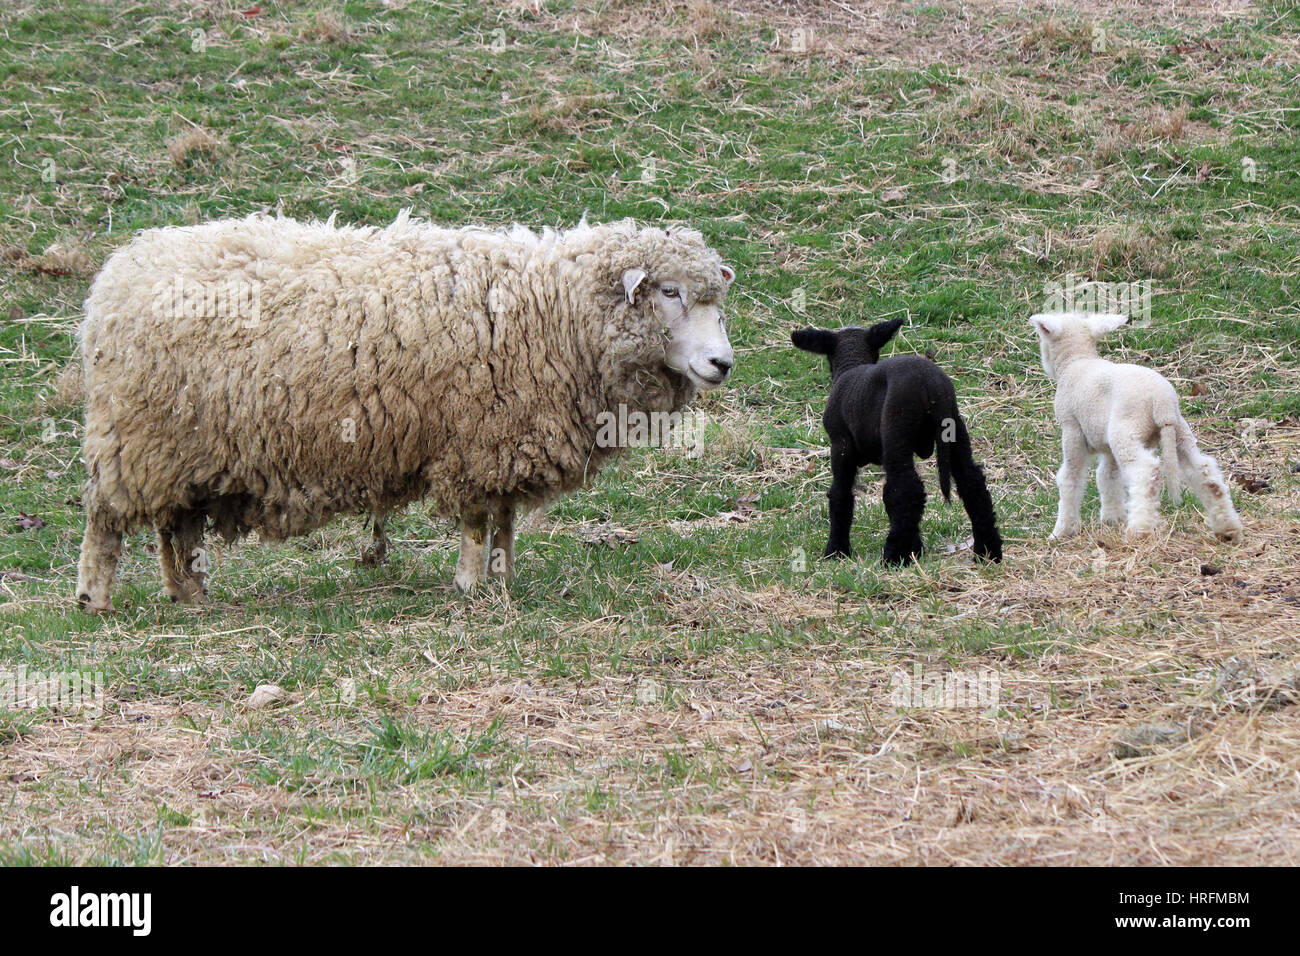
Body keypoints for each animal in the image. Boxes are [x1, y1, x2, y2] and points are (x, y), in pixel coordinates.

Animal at [74, 212, 736, 611]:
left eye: (715, 300)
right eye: (670, 292)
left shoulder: (503, 438)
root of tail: (119, 273)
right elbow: (476, 521)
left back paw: (187, 592)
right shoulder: (473, 437)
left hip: (180, 450)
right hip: (134, 439)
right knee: (106, 521)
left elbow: (503, 521)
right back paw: (95, 598)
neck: (553, 309)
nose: (722, 363)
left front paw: (503, 579)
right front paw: (469, 585)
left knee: (174, 526)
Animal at [792, 319, 1003, 566]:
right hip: (956, 430)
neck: (852, 364)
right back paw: (987, 552)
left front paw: (836, 550)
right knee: (972, 484)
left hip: (897, 430)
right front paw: (916, 550)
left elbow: (840, 495)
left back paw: (892, 557)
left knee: (906, 489)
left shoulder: (841, 445)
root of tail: (932, 386)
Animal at [1030, 311, 1243, 543]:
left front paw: (1062, 530)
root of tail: (1162, 402)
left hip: (1125, 430)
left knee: (1145, 471)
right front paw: (1112, 519)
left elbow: (1070, 477)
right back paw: (1227, 527)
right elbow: (1108, 477)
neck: (1076, 361)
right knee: (1203, 470)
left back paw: (1139, 530)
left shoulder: (1071, 428)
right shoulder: (1108, 447)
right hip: (1177, 432)